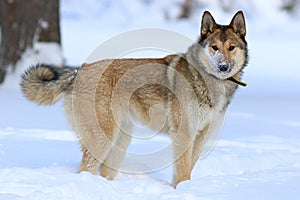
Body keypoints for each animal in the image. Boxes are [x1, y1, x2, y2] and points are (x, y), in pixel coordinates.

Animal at [20, 10, 248, 187]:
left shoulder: (200, 136)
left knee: (104, 172)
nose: (223, 67)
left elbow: (187, 169)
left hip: (120, 140)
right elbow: (183, 171)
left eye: (231, 47)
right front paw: (183, 189)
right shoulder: (183, 133)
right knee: (86, 169)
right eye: (214, 47)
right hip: (102, 138)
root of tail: (78, 71)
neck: (209, 82)